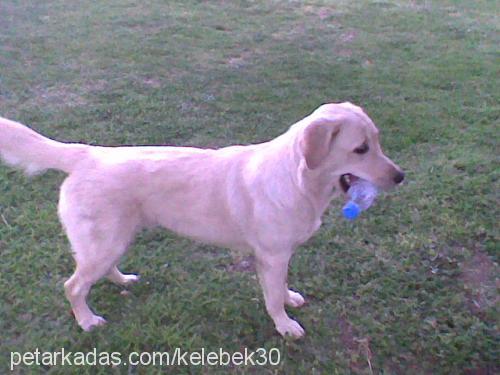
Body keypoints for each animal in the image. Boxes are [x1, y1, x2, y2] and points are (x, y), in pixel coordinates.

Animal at [0, 103, 402, 340]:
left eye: (378, 142)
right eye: (361, 149)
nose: (401, 177)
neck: (298, 178)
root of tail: (87, 154)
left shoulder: (280, 256)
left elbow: (282, 288)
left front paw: (290, 299)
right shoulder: (270, 256)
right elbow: (272, 297)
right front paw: (285, 325)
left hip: (114, 239)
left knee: (97, 272)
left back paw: (122, 281)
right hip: (104, 241)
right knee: (72, 286)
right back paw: (86, 321)